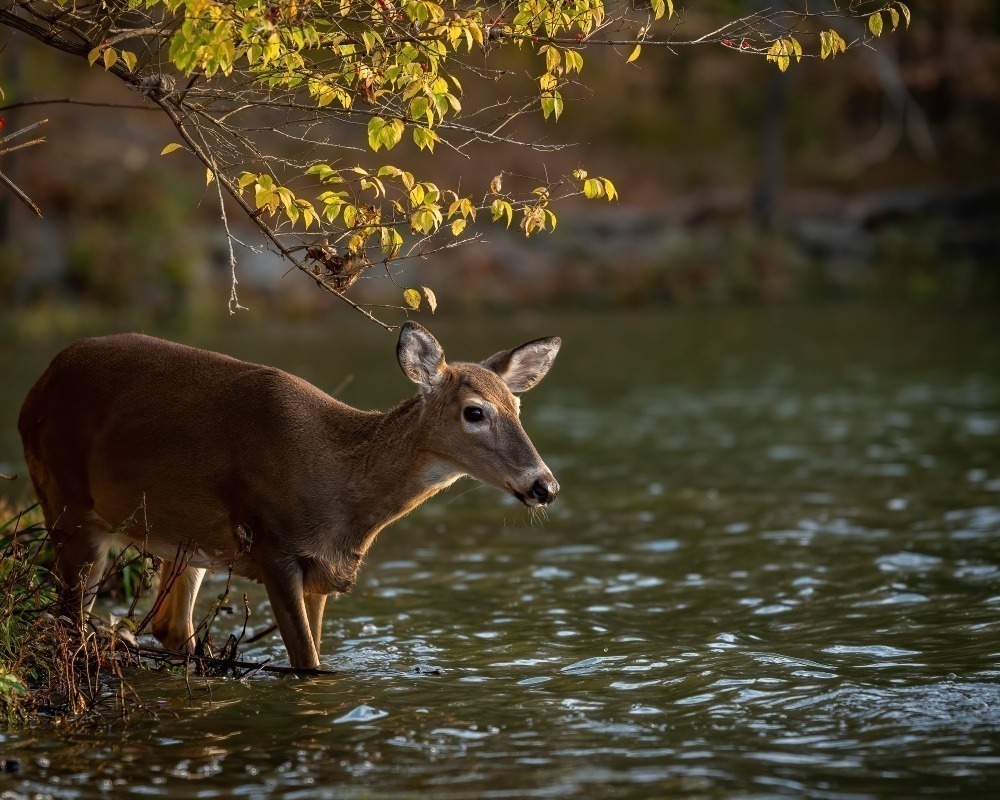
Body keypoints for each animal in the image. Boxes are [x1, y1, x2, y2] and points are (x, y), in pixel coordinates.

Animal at [19, 324, 564, 668]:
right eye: (475, 412)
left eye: (517, 406)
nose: (545, 486)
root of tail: (35, 389)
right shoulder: (273, 546)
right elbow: (307, 664)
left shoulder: (322, 572)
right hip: (68, 505)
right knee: (67, 618)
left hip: (187, 540)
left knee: (171, 629)